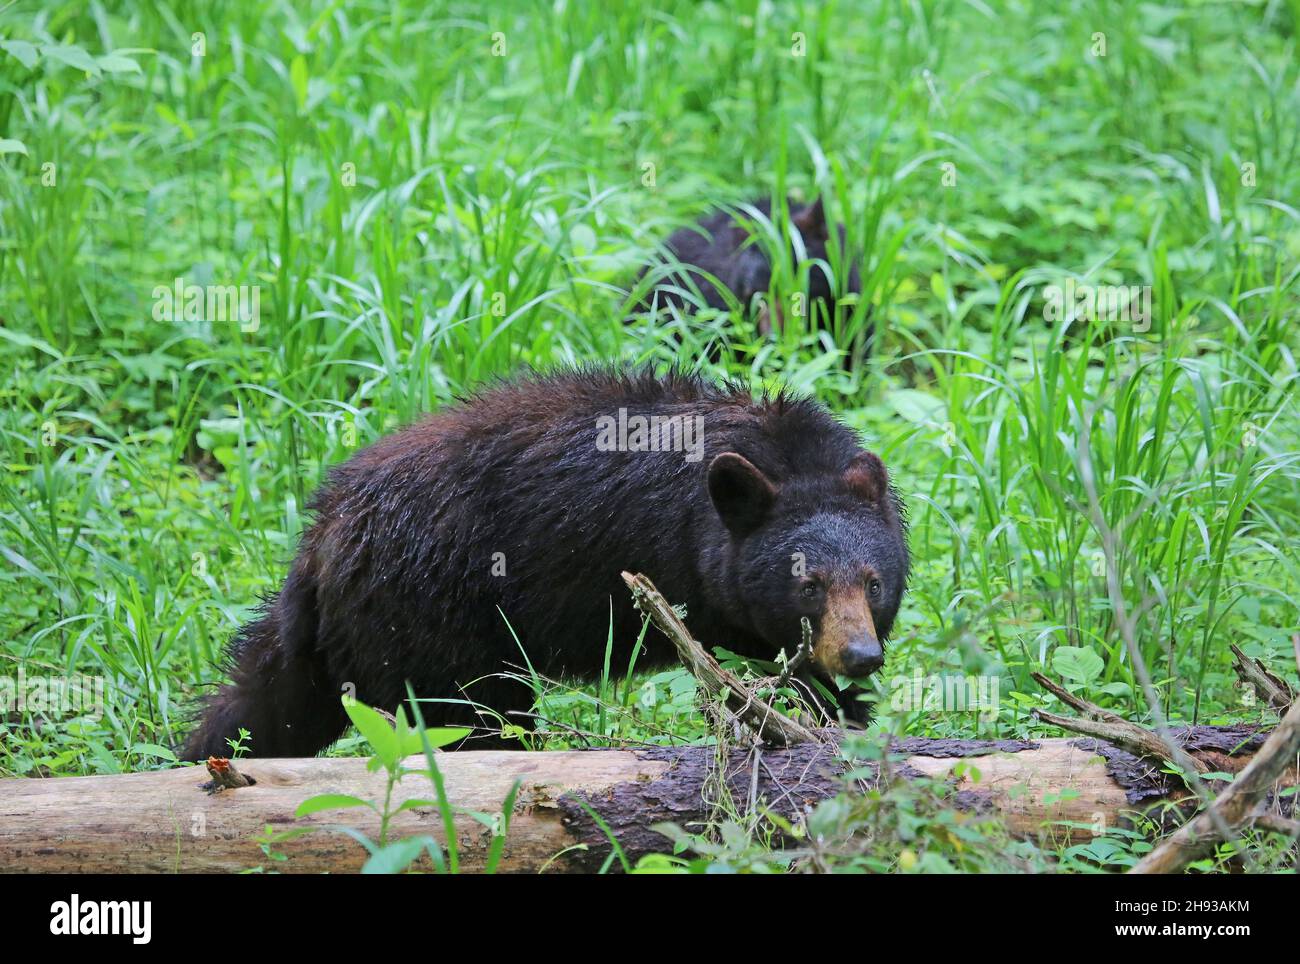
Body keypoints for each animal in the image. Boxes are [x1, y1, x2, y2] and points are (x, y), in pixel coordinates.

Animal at [182, 367, 908, 759]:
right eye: (807, 583)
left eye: (873, 582)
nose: (861, 655)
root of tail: (322, 537)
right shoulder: (703, 594)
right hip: (430, 623)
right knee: (476, 723)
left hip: (339, 639)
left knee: (264, 704)